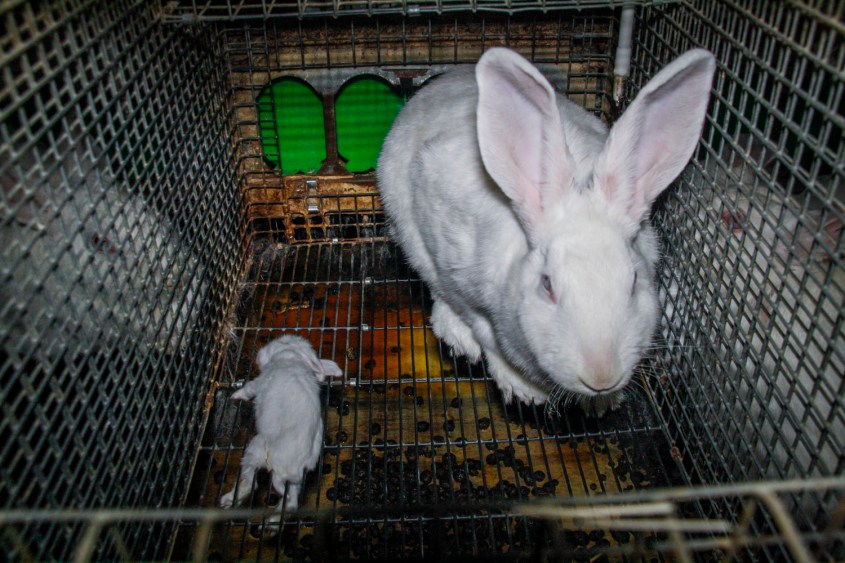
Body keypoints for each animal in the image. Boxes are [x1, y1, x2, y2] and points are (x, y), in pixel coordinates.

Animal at [219, 334, 343, 514]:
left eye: (277, 344)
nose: (259, 356)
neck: (293, 358)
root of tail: (294, 471)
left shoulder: (258, 382)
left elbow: (248, 389)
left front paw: (235, 395)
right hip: (293, 482)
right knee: (292, 501)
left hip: (256, 449)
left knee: (250, 480)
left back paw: (229, 500)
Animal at [377, 47, 716, 415]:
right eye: (548, 285)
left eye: (634, 283)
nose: (601, 377)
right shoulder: (460, 280)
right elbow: (485, 334)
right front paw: (523, 388)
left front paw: (603, 403)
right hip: (407, 228)